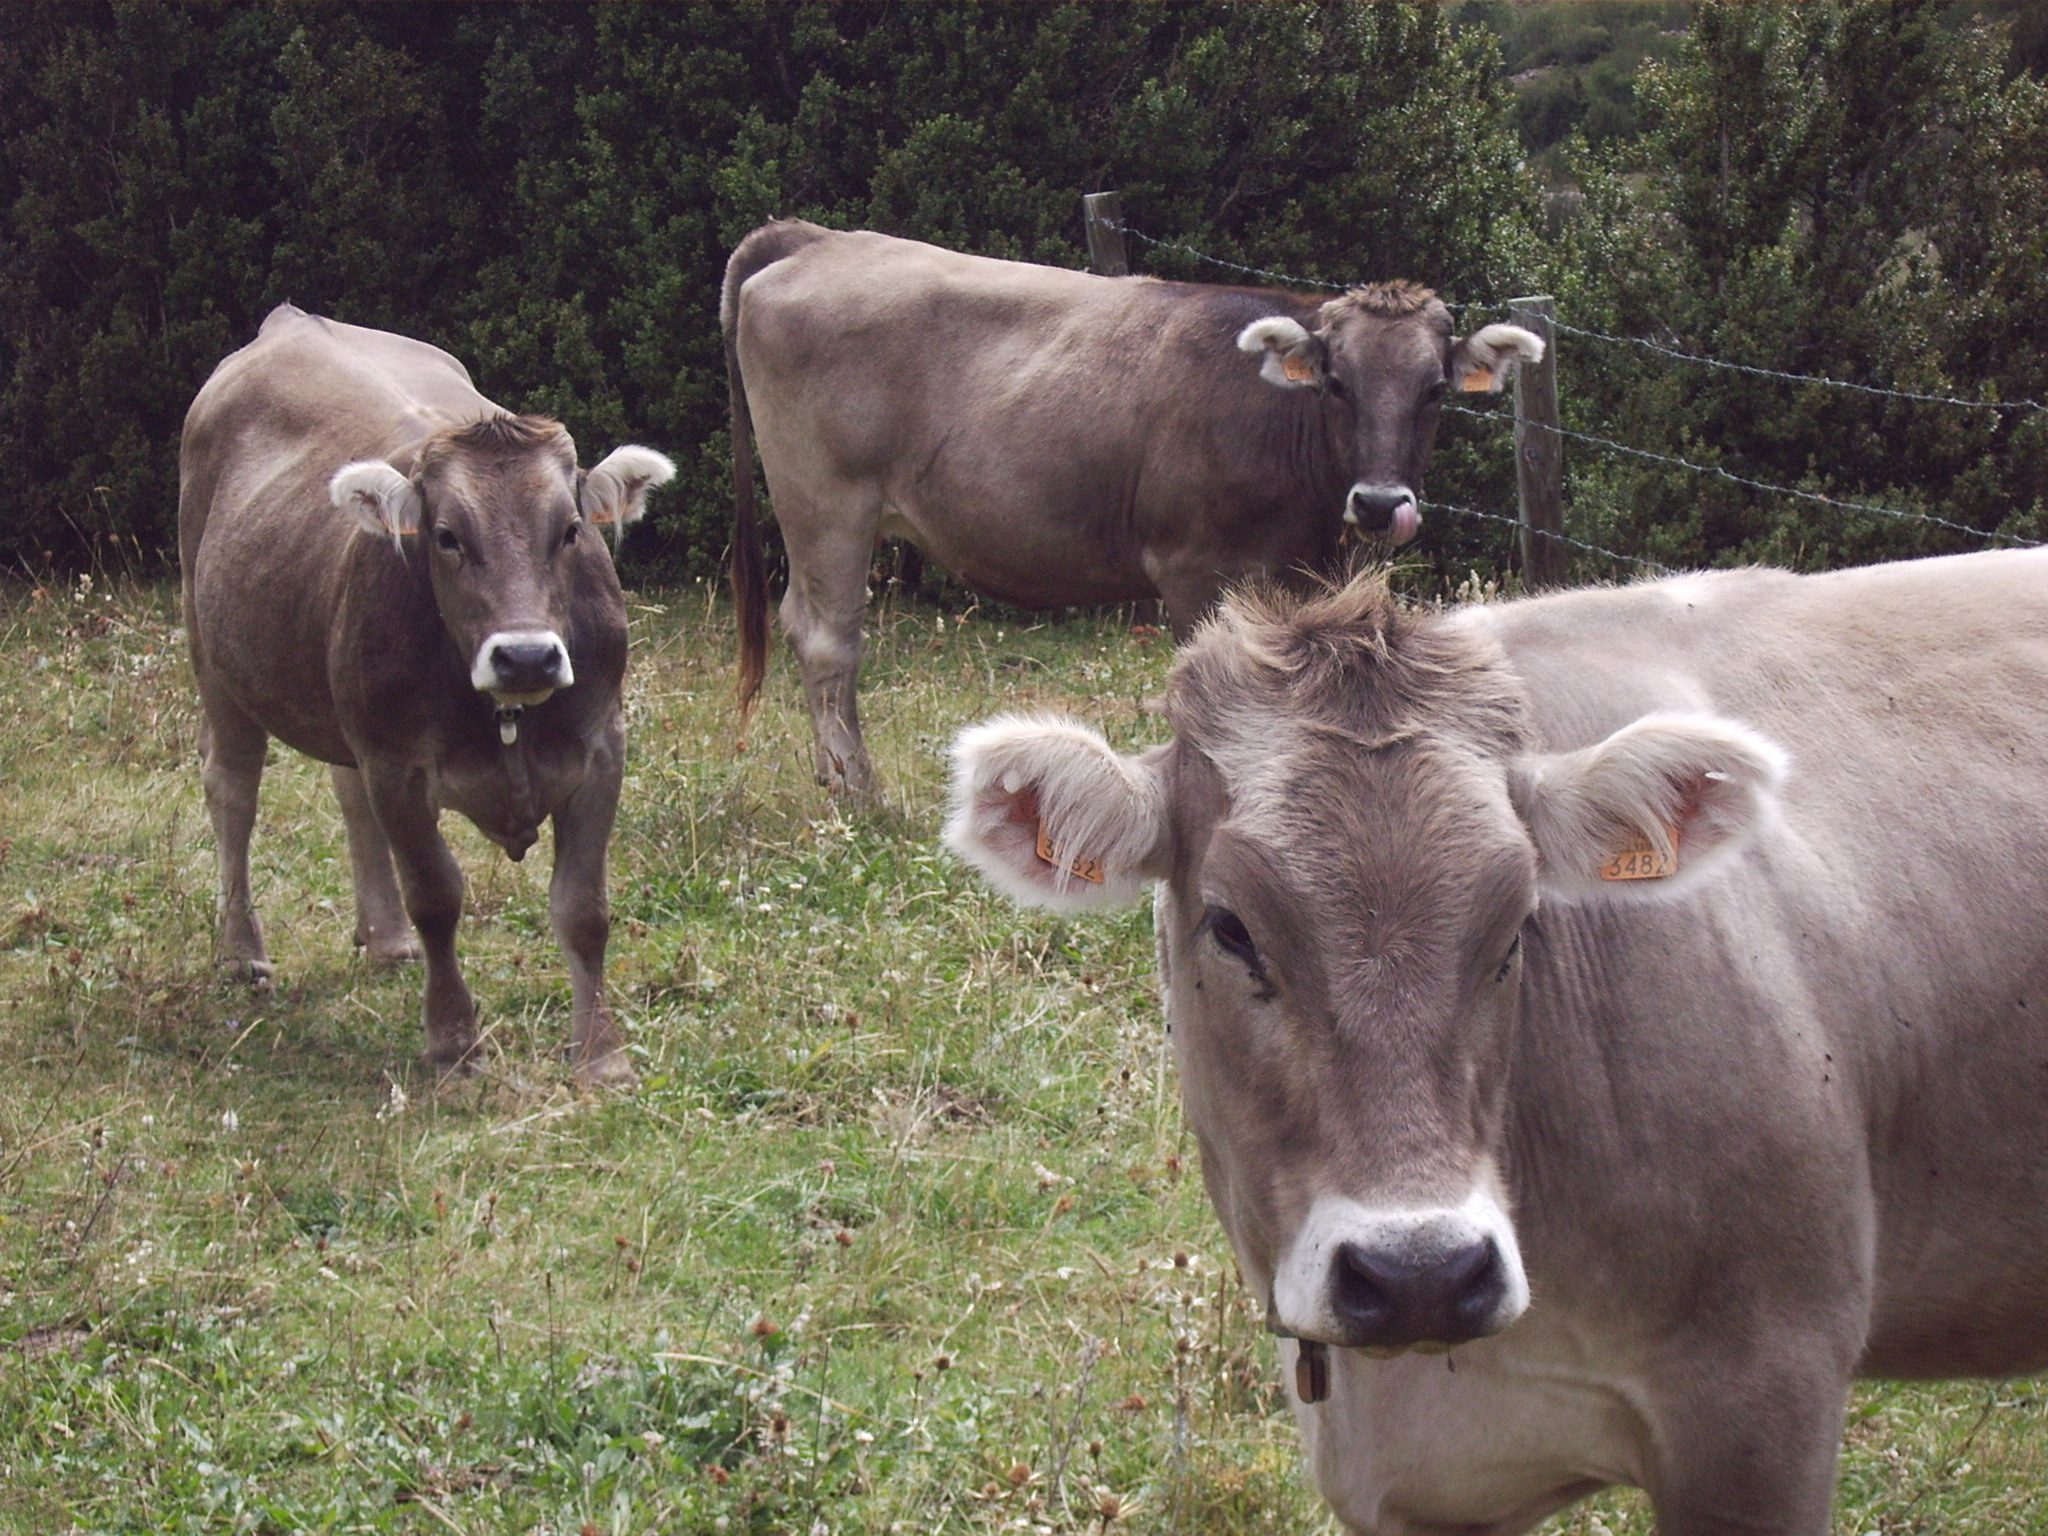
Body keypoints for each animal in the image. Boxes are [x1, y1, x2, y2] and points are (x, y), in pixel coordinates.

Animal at [177, 307, 671, 1089]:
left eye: (569, 530)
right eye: (446, 536)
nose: (525, 654)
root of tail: (290, 321)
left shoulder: (601, 749)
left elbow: (584, 909)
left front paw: (601, 1054)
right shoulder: (399, 766)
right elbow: (437, 897)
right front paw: (452, 1042)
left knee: (346, 794)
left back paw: (386, 937)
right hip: (215, 657)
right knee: (231, 789)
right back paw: (241, 951)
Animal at [720, 228, 1540, 806]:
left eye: (1435, 390)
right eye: (1336, 382)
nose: (1377, 503)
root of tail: (818, 238)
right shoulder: (1197, 569)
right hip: (827, 500)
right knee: (827, 638)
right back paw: (859, 792)